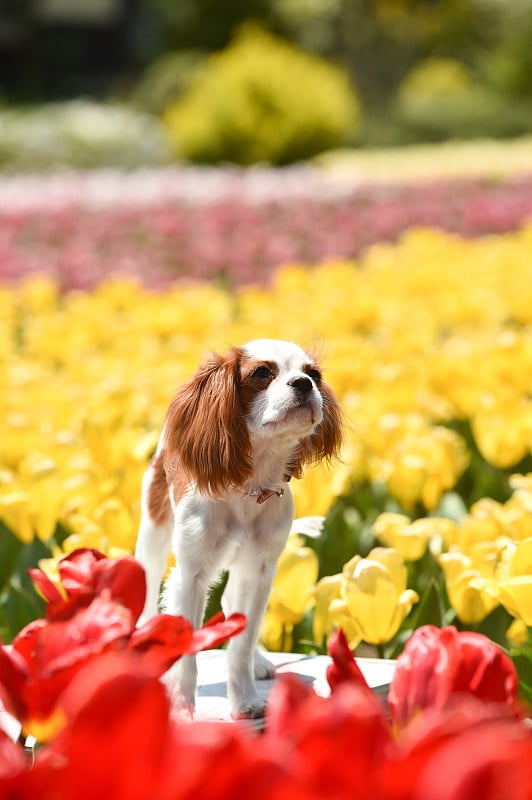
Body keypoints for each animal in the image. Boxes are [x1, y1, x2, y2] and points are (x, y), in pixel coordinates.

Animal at [133, 340, 340, 720]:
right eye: (261, 373)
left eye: (314, 374)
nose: (304, 383)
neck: (249, 484)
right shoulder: (190, 576)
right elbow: (188, 649)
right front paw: (181, 709)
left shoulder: (258, 572)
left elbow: (242, 642)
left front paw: (245, 701)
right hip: (153, 536)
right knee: (149, 592)